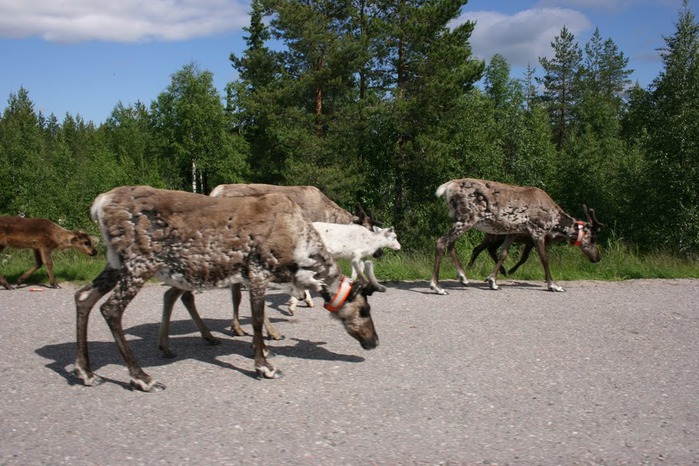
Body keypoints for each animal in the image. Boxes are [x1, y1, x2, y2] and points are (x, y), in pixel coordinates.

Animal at [74, 187, 380, 392]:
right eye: (364, 310)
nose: (374, 341)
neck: (302, 247)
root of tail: (98, 205)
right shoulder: (258, 271)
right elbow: (256, 320)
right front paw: (265, 366)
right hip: (140, 264)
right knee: (111, 309)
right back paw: (142, 378)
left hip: (116, 263)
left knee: (83, 297)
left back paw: (86, 372)